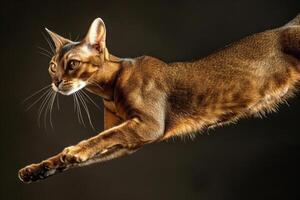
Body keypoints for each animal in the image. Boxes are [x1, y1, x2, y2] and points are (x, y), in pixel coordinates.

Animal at [18, 13, 300, 183]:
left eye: (73, 64)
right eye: (52, 66)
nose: (55, 82)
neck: (109, 90)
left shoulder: (149, 126)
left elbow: (102, 137)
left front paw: (75, 150)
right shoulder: (130, 143)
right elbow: (96, 144)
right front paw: (38, 169)